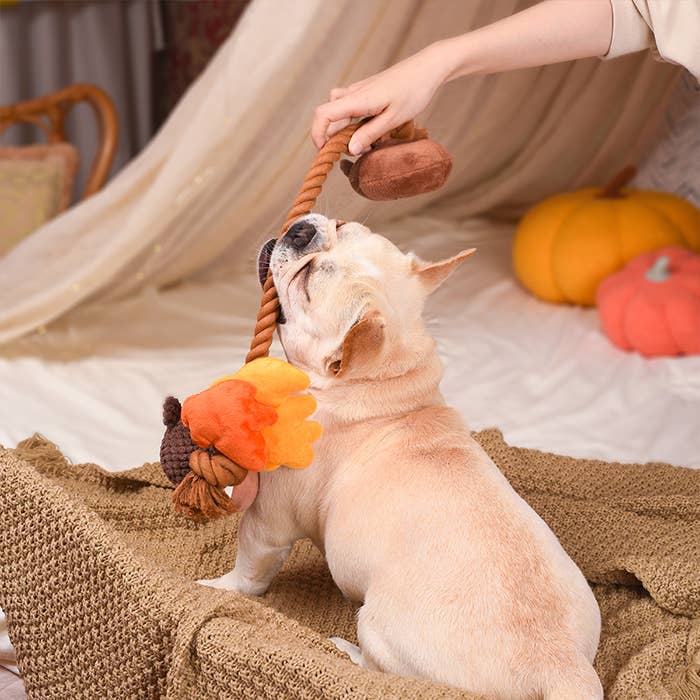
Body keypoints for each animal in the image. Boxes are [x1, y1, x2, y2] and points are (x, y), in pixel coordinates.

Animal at [201, 215, 600, 700]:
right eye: (340, 224)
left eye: (306, 281)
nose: (302, 230)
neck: (385, 386)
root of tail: (560, 665)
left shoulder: (268, 523)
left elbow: (247, 573)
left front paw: (216, 587)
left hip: (376, 625)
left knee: (384, 671)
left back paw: (346, 652)